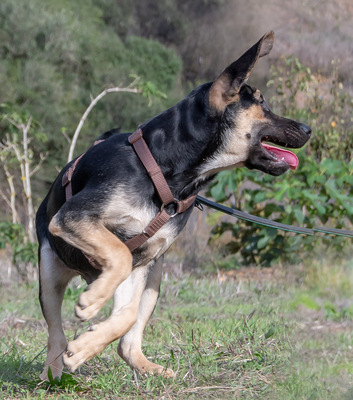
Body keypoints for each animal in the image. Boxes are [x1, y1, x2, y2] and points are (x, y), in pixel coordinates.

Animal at [35, 32, 310, 382]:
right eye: (262, 104)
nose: (309, 130)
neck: (166, 169)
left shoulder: (143, 259)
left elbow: (126, 310)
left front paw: (86, 345)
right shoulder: (74, 217)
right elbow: (118, 254)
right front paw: (92, 303)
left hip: (154, 277)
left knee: (127, 337)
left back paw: (143, 366)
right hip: (50, 269)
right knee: (55, 331)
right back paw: (55, 371)